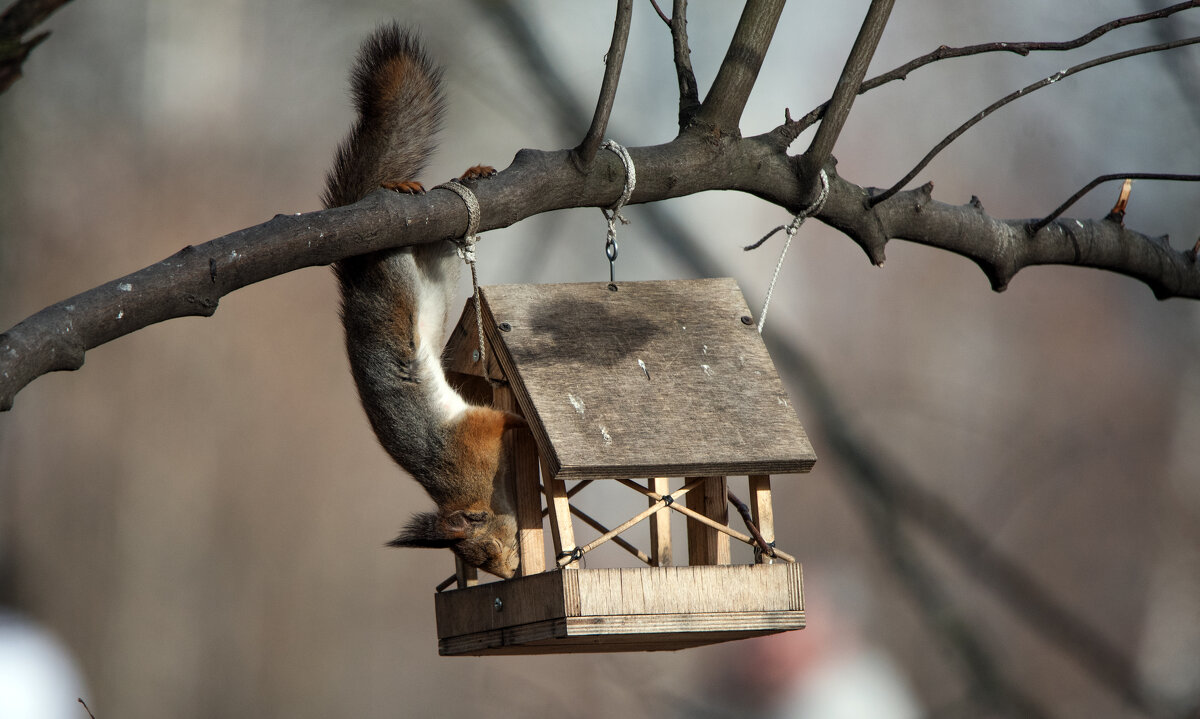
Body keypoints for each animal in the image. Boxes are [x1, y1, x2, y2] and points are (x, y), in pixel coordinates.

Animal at [321, 23, 523, 578]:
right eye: (485, 559)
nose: (509, 572)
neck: (465, 491)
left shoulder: (474, 434)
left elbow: (501, 420)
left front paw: (525, 423)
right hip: (428, 270)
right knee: (441, 245)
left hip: (389, 269)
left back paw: (429, 182)